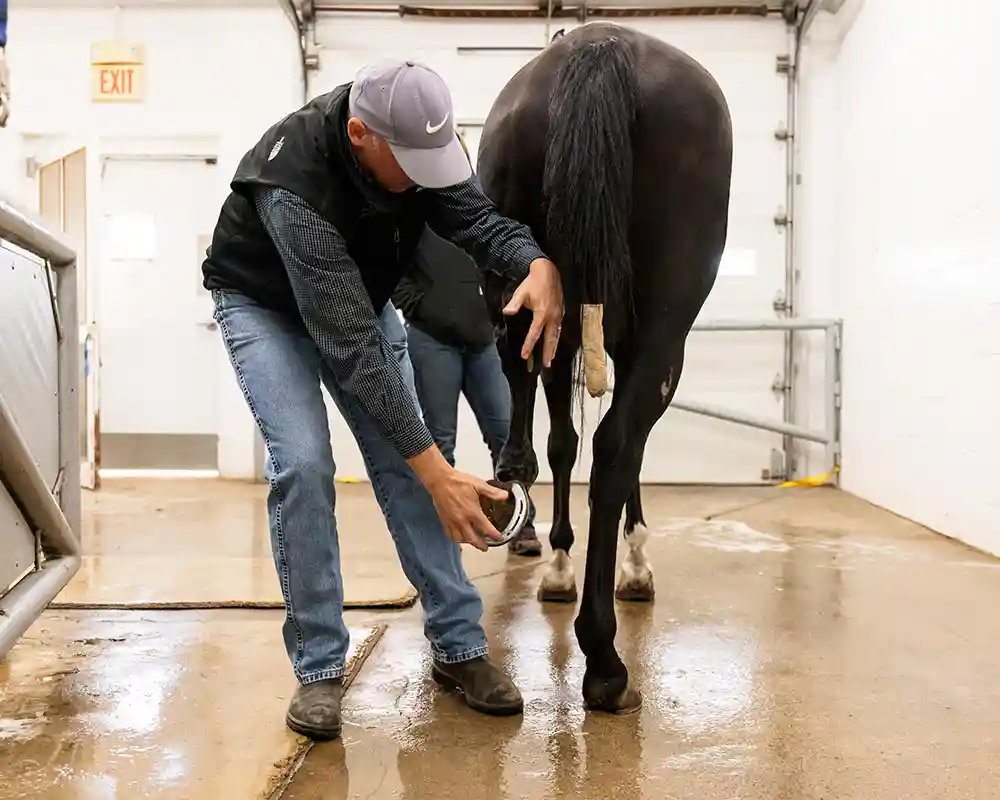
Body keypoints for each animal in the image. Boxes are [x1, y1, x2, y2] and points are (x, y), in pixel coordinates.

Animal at [477, 22, 734, 714]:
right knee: (615, 443)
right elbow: (612, 450)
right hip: (664, 326)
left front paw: (574, 566)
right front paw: (628, 563)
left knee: (565, 432)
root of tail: (602, 45)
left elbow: (567, 445)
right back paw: (605, 661)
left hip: (535, 308)